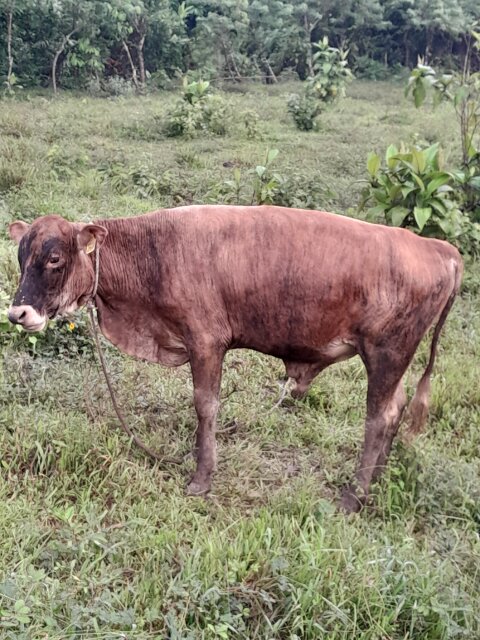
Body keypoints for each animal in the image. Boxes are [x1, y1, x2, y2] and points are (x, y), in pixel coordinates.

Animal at [7, 205, 463, 512]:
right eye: (20, 256)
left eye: (54, 258)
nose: (17, 313)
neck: (154, 252)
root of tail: (435, 246)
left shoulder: (206, 341)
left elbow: (205, 405)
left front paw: (201, 477)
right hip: (393, 360)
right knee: (396, 407)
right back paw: (378, 479)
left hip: (386, 353)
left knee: (379, 417)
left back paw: (356, 494)